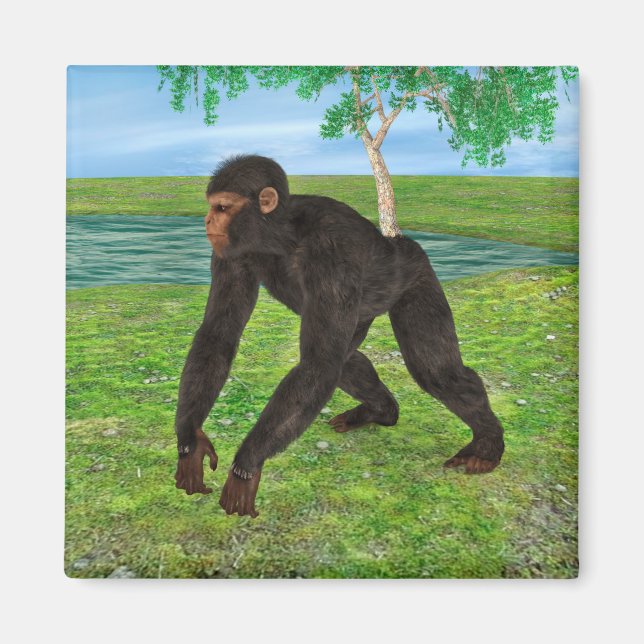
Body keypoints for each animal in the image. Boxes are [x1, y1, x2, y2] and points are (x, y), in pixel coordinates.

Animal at [174, 154, 505, 518]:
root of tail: (400, 241)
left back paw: (487, 444)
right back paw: (382, 411)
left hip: (417, 274)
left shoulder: (331, 256)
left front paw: (246, 466)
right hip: (365, 313)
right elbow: (219, 335)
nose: (207, 220)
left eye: (222, 207)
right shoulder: (230, 255)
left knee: (436, 371)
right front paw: (190, 444)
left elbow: (318, 363)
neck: (280, 235)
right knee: (345, 360)